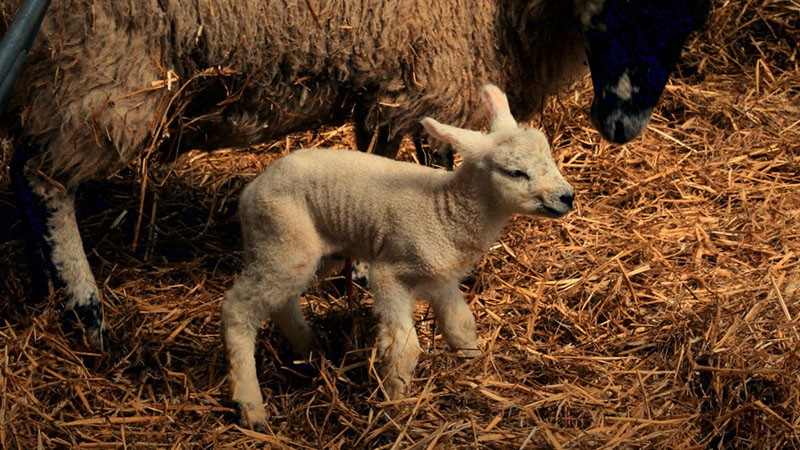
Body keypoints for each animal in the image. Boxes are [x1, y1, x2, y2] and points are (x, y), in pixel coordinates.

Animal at [1, 0, 709, 348]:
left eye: (689, 20)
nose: (623, 125)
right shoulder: (434, 63)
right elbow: (430, 161)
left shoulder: (388, 72)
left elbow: (376, 155)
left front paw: (361, 270)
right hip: (100, 63)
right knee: (42, 179)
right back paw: (85, 311)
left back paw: (43, 289)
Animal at [222, 84, 575, 429]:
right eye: (516, 172)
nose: (567, 197)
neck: (446, 208)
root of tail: (250, 191)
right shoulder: (390, 274)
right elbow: (404, 348)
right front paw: (395, 403)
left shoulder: (441, 279)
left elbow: (461, 325)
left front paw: (474, 366)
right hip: (284, 240)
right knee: (238, 307)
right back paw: (252, 408)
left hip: (310, 253)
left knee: (282, 301)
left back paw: (310, 350)